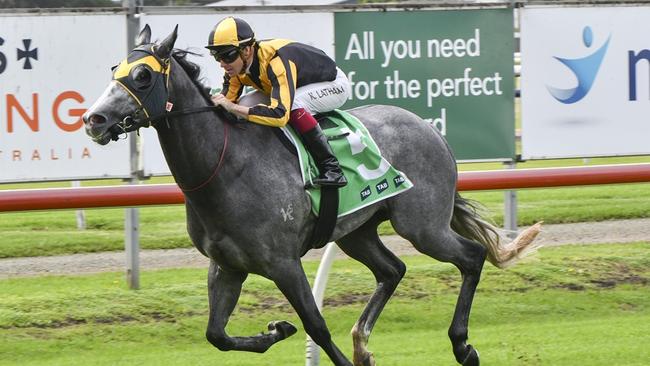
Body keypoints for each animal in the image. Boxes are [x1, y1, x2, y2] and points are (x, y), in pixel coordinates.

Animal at [82, 26, 536, 366]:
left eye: (142, 76)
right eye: (115, 68)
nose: (93, 119)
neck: (225, 166)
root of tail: (430, 129)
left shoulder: (282, 262)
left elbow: (316, 325)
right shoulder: (227, 266)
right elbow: (216, 334)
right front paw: (276, 330)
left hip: (422, 225)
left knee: (471, 256)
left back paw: (462, 346)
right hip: (357, 231)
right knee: (393, 270)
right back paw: (364, 345)